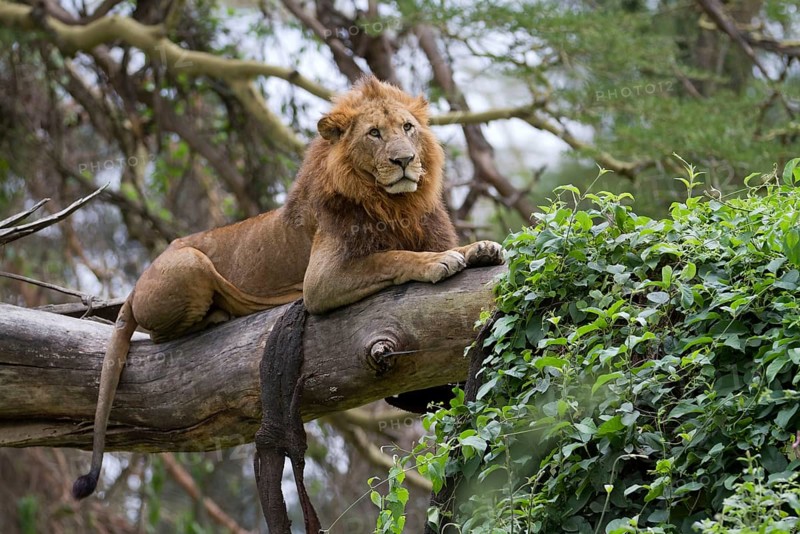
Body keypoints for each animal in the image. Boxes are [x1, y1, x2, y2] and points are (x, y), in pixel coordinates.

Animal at [72, 76, 504, 499]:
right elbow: (393, 257)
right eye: (374, 133)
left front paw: (478, 248)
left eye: (408, 128)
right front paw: (436, 263)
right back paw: (217, 315)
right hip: (190, 261)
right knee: (162, 335)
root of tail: (134, 289)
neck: (398, 205)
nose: (404, 160)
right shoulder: (321, 281)